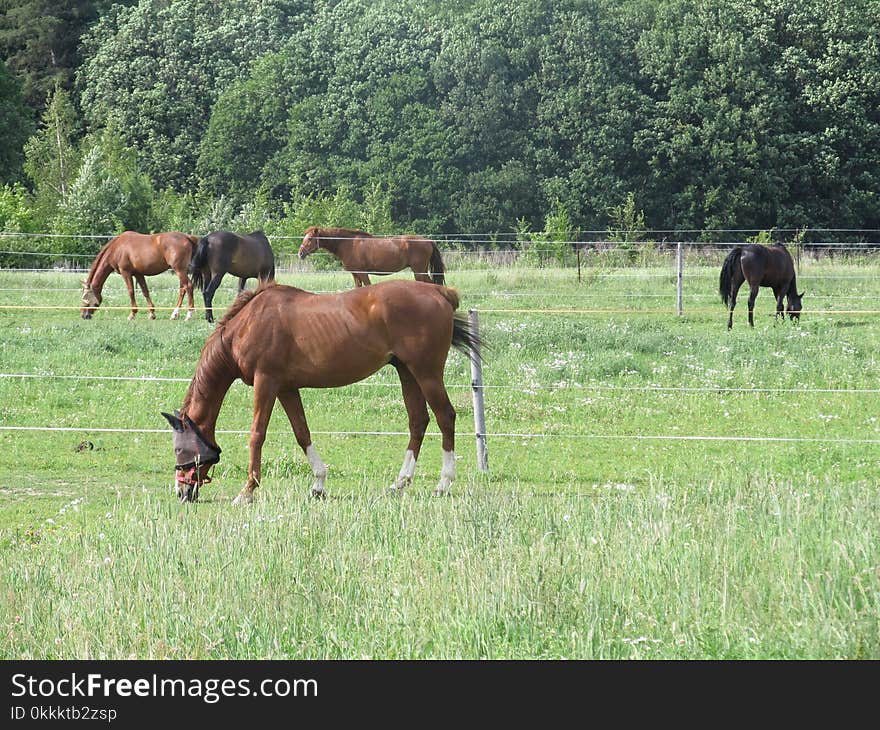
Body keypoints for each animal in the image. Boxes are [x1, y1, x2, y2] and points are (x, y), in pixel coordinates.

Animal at [163, 276, 482, 504]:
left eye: (179, 449)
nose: (181, 493)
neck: (247, 324)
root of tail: (440, 293)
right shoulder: (286, 388)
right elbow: (302, 433)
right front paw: (318, 484)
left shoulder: (266, 383)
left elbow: (257, 435)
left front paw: (247, 491)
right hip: (406, 372)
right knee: (418, 421)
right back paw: (399, 483)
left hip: (426, 373)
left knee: (445, 417)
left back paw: (443, 483)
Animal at [298, 226, 446, 286]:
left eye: (310, 238)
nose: (300, 253)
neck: (348, 243)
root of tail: (429, 241)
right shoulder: (355, 274)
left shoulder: (362, 273)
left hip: (419, 272)